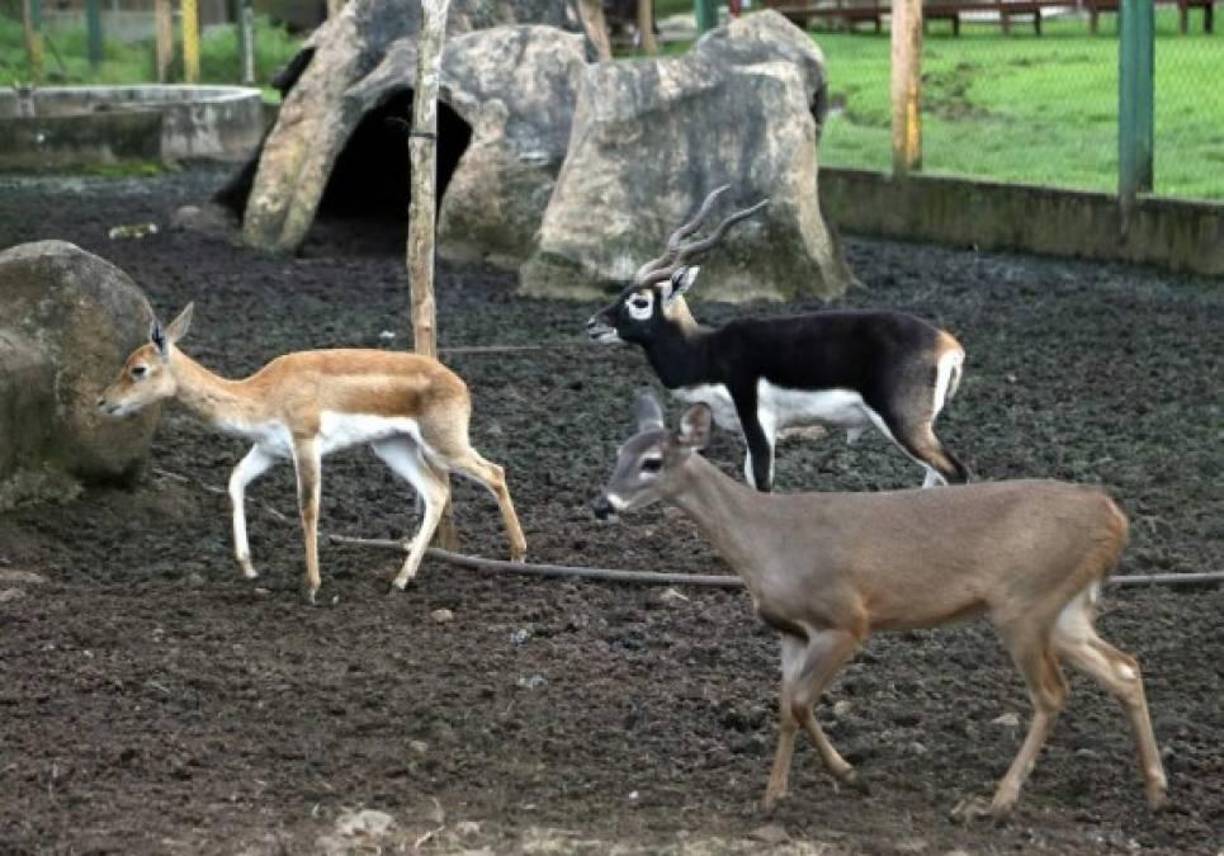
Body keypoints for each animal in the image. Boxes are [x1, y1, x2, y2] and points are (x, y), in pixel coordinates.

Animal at [98, 303, 527, 602]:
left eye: (137, 369)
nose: (102, 402)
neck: (262, 395)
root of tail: (461, 385)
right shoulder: (268, 450)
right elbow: (235, 481)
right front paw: (248, 567)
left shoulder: (305, 442)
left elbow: (308, 508)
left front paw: (312, 586)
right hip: (393, 446)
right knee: (438, 491)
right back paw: (400, 580)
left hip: (444, 442)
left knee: (494, 471)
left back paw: (518, 555)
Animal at [586, 186, 968, 492]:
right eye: (623, 292)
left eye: (639, 301)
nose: (592, 325)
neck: (708, 352)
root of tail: (949, 346)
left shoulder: (758, 419)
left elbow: (762, 483)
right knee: (936, 476)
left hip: (904, 424)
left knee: (956, 473)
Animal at [591, 392, 1168, 819]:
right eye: (617, 453)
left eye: (652, 462)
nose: (602, 504)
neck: (766, 543)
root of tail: (1115, 516)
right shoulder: (790, 630)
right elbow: (786, 706)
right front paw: (776, 795)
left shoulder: (846, 619)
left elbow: (801, 703)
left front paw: (847, 775)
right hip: (1063, 609)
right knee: (1125, 667)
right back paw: (1156, 789)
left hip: (1025, 601)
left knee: (1053, 692)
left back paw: (999, 801)